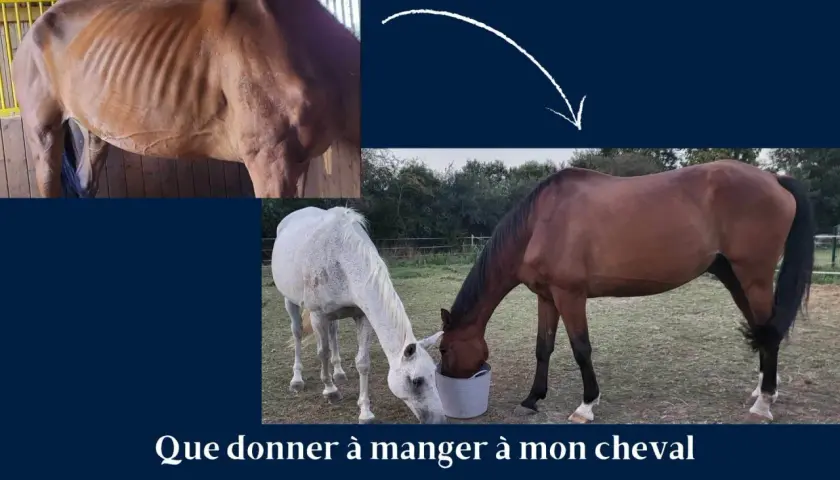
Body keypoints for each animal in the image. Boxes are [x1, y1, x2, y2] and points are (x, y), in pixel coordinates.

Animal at [271, 206, 447, 424]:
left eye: (434, 375)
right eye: (416, 381)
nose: (439, 420)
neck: (340, 259)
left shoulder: (362, 316)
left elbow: (362, 362)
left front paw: (365, 412)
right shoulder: (318, 315)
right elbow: (323, 353)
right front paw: (330, 391)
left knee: (334, 333)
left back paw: (338, 372)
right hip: (291, 302)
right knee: (297, 334)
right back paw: (297, 379)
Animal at [438, 160, 815, 423]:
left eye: (444, 349)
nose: (446, 384)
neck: (540, 223)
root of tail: (774, 179)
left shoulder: (570, 295)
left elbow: (581, 349)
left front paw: (586, 406)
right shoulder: (547, 297)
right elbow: (543, 348)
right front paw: (532, 400)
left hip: (754, 276)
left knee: (768, 332)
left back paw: (763, 404)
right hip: (734, 276)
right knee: (764, 329)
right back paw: (764, 390)